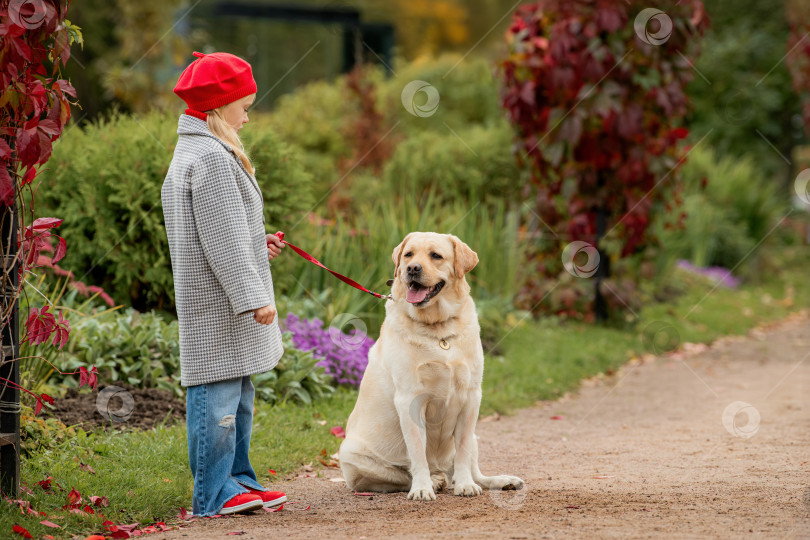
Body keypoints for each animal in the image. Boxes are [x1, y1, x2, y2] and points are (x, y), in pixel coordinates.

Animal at [336, 230, 520, 500]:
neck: (439, 330)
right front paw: (422, 488)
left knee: (474, 471)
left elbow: (462, 453)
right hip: (352, 453)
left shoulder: (471, 398)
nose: (412, 268)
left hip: (474, 435)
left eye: (436, 255)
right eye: (408, 254)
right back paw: (433, 481)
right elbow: (418, 453)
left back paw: (501, 481)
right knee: (402, 476)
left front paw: (465, 485)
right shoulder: (410, 400)